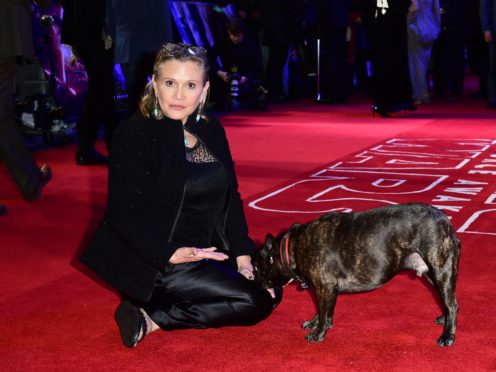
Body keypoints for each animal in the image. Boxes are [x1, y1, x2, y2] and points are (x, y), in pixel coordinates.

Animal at [254, 203, 464, 346]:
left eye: (258, 268)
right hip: (432, 274)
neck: (292, 248)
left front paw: (318, 334)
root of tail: (445, 221)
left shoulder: (325, 288)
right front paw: (313, 323)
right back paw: (444, 320)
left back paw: (448, 336)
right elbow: (320, 311)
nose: (256, 283)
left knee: (452, 304)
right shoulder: (323, 291)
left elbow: (325, 314)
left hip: (441, 270)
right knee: (448, 301)